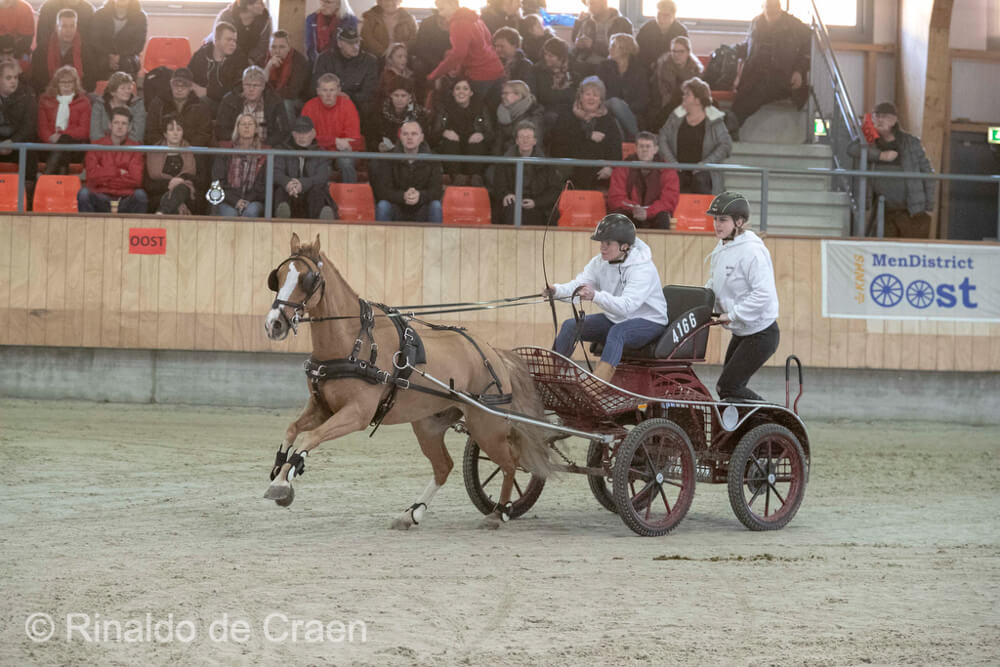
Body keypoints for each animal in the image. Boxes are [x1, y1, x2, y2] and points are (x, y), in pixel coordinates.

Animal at [262, 233, 552, 529]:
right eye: (278, 276)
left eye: (307, 279)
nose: (274, 324)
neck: (355, 342)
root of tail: (494, 353)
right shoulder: (323, 408)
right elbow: (293, 429)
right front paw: (281, 474)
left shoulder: (357, 414)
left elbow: (311, 436)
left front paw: (284, 482)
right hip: (429, 425)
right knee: (444, 466)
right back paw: (412, 512)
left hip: (486, 427)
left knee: (511, 462)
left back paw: (499, 512)